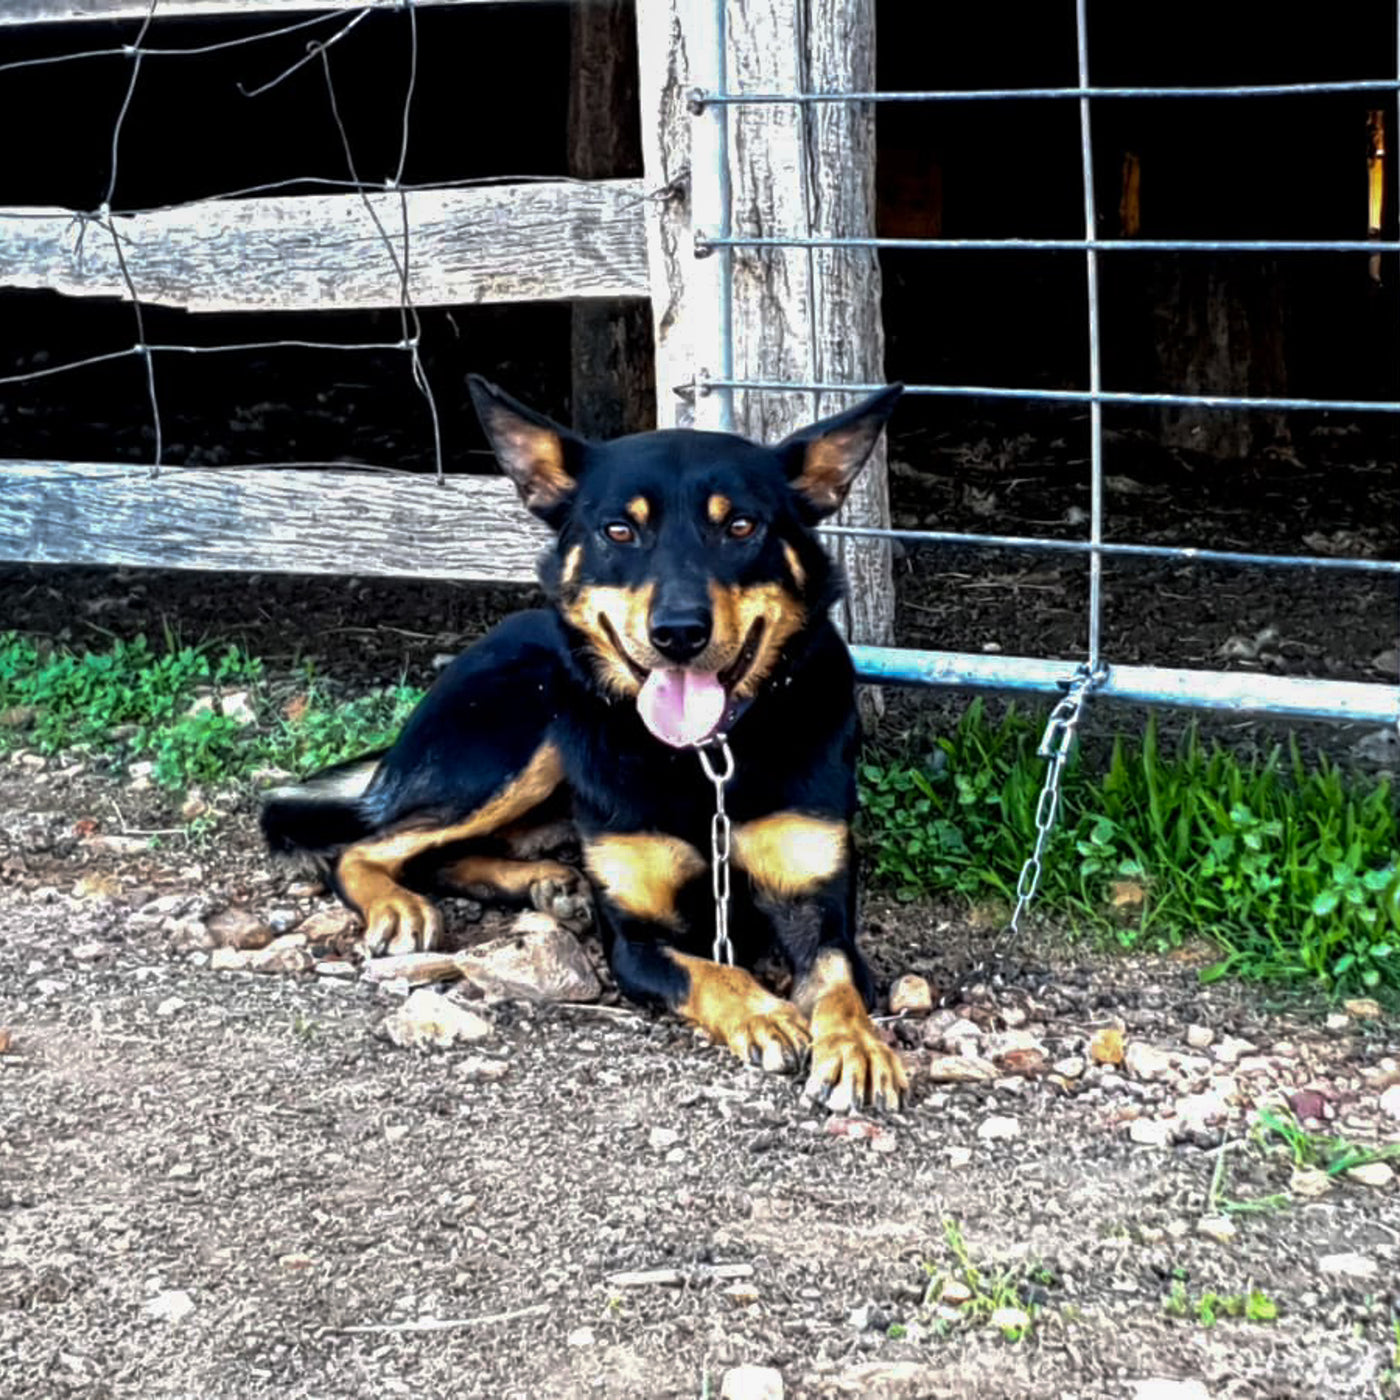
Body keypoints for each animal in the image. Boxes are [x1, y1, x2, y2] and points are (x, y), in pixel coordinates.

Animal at [264, 375, 907, 1114]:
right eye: (619, 530)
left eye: (741, 527)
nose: (678, 633)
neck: (706, 759)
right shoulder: (634, 940)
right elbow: (709, 972)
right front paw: (763, 1011)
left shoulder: (818, 908)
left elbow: (838, 982)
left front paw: (856, 1047)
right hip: (525, 743)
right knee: (372, 846)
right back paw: (401, 903)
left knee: (438, 852)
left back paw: (544, 880)